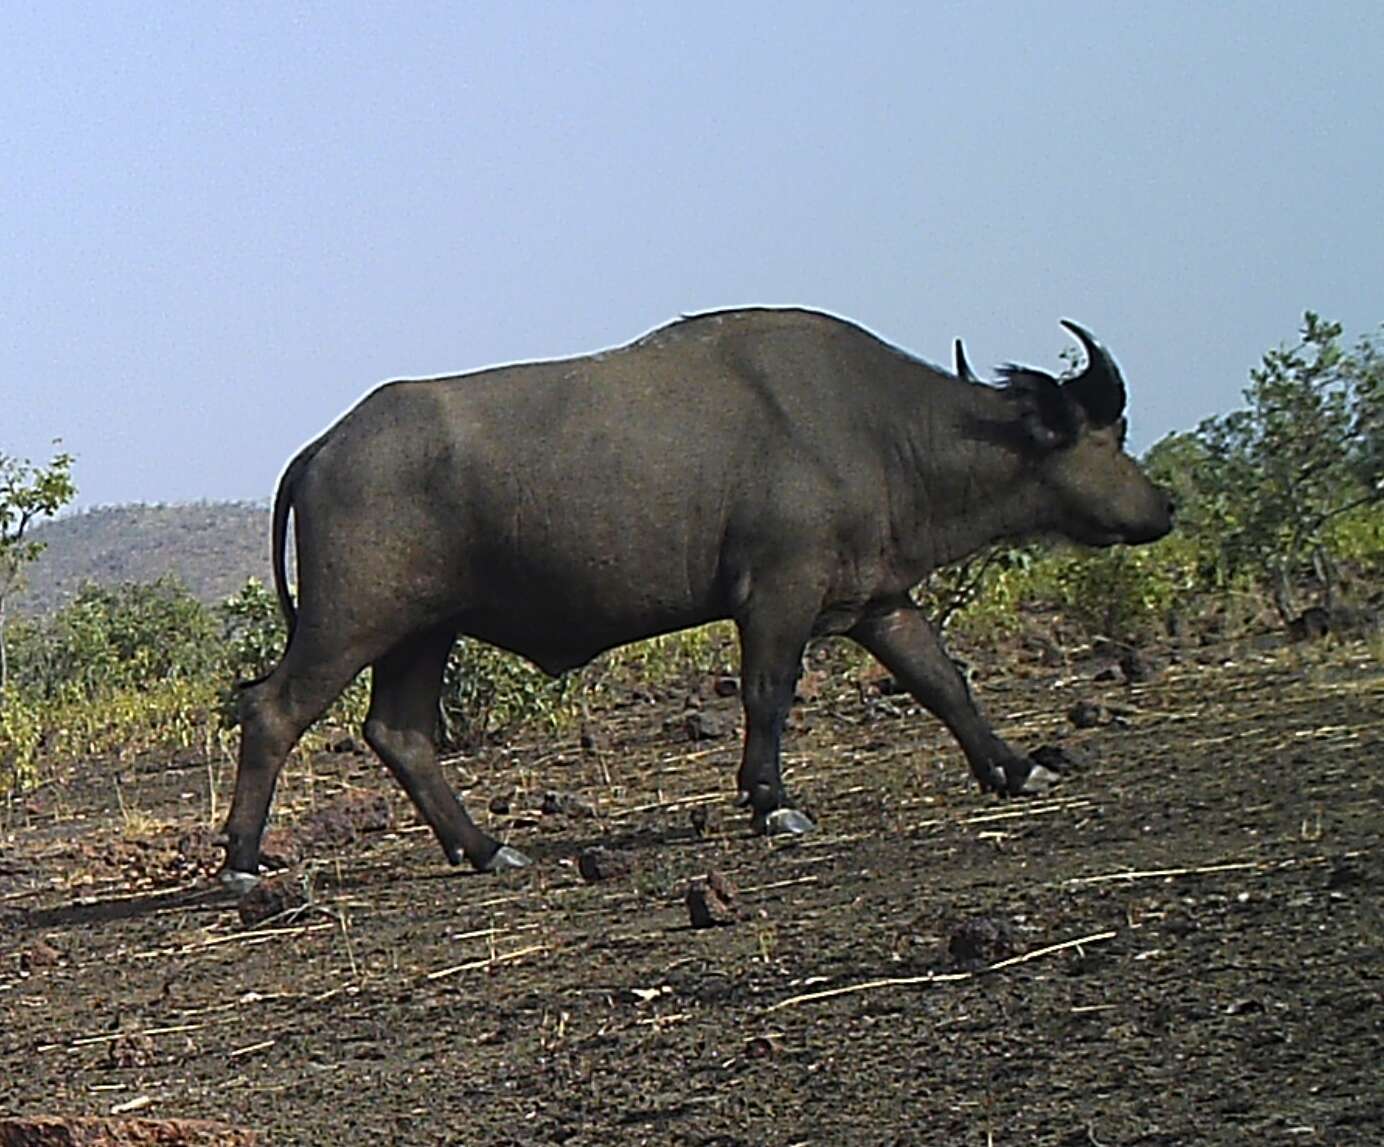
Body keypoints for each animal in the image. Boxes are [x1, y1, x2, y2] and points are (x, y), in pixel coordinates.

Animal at [221, 307, 1173, 885]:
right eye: (1112, 431)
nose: (1163, 506)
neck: (875, 426)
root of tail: (326, 445)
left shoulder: (879, 601)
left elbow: (943, 681)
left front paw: (1015, 764)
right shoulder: (780, 593)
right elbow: (768, 693)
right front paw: (772, 801)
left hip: (425, 633)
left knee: (400, 734)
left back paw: (488, 848)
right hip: (352, 621)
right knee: (273, 711)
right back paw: (241, 863)